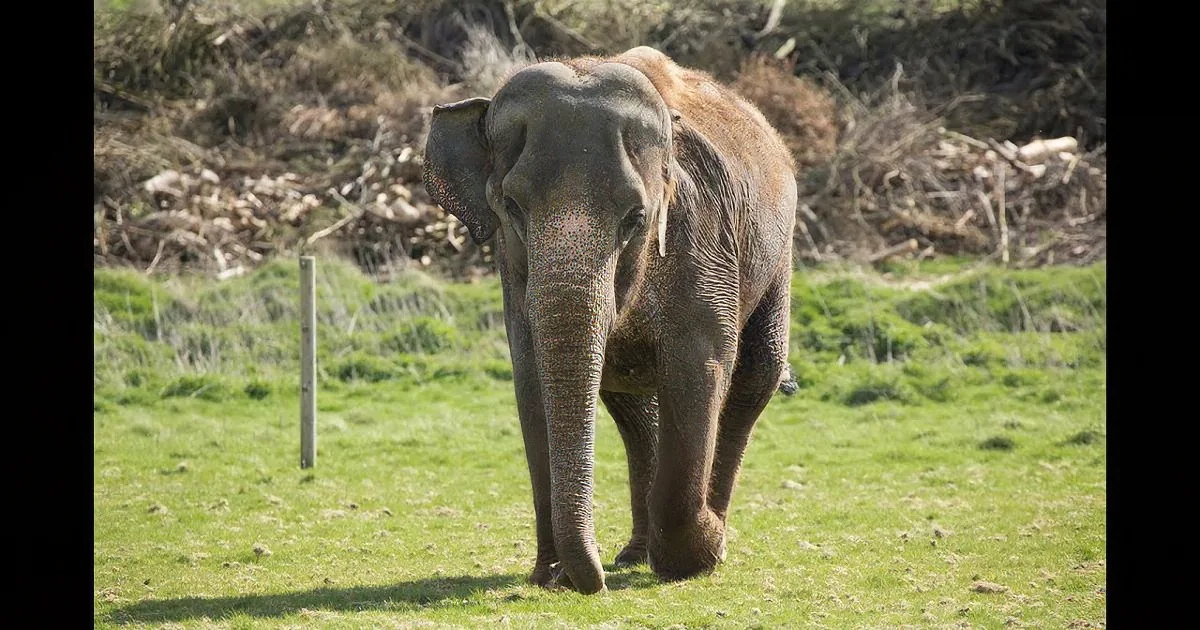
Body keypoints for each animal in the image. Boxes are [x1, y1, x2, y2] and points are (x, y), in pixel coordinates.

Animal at [422, 46, 798, 594]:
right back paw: (637, 554)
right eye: (511, 207)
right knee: (634, 409)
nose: (590, 581)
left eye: (635, 219)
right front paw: (550, 575)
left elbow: (700, 368)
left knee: (755, 375)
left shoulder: (703, 246)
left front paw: (696, 556)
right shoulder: (511, 272)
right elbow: (531, 379)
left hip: (778, 255)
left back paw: (709, 539)